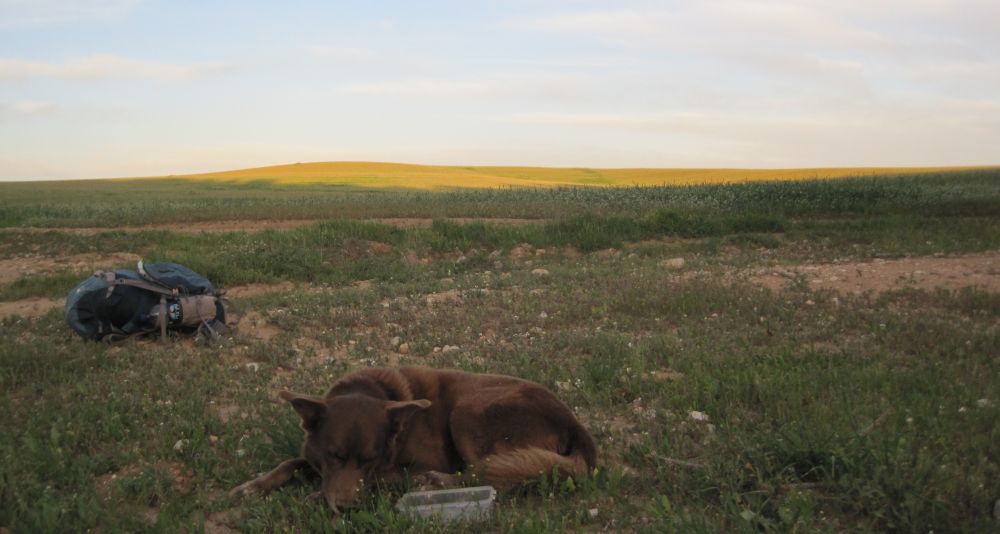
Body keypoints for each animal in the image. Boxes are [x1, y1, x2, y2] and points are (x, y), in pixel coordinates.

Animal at [230, 368, 596, 510]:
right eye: (334, 456)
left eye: (370, 460)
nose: (348, 508)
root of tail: (575, 425)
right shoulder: (315, 456)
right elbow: (291, 461)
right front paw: (255, 485)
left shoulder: (407, 465)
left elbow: (380, 478)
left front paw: (316, 496)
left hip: (467, 411)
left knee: (487, 473)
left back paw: (437, 482)